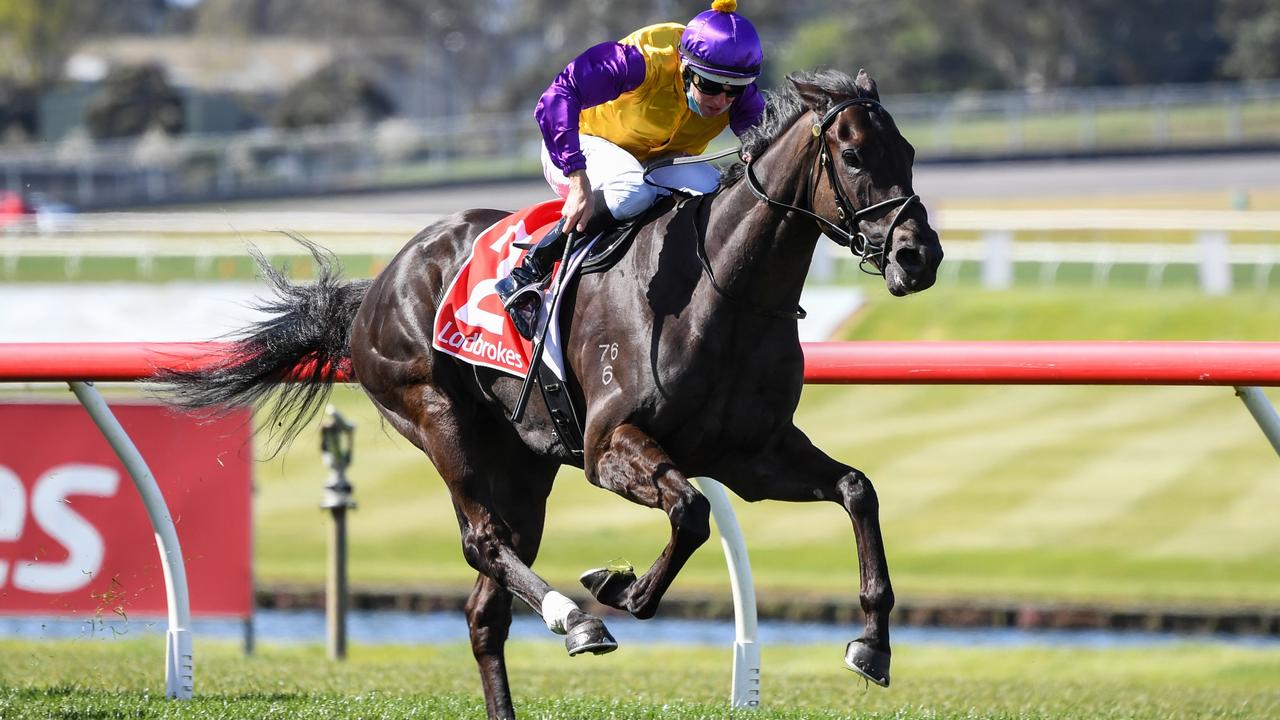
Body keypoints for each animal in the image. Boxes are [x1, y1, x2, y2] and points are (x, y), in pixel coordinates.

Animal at [162, 68, 942, 717]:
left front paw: (873, 643)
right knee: (483, 542)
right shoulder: (609, 446)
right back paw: (576, 617)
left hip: (524, 467)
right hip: (440, 417)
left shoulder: (753, 455)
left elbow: (857, 489)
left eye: (906, 151)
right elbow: (690, 513)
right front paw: (618, 589)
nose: (920, 256)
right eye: (853, 156)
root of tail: (379, 282)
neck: (724, 290)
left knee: (486, 606)